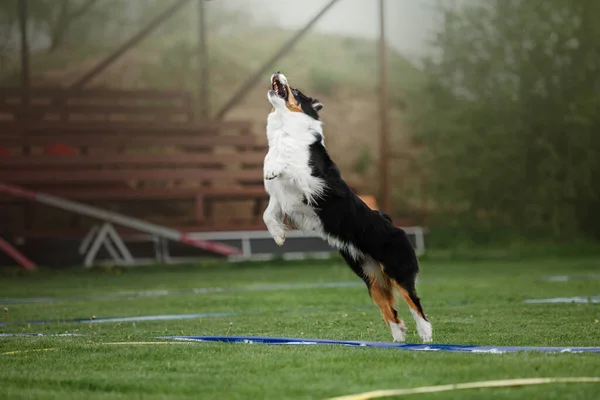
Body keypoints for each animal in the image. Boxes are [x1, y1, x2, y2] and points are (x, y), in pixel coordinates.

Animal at [262, 70, 432, 342]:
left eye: (296, 91)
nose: (277, 72)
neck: (285, 129)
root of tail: (394, 224)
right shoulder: (280, 198)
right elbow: (267, 215)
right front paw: (279, 236)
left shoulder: (311, 181)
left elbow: (287, 163)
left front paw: (273, 167)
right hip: (370, 277)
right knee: (391, 311)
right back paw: (398, 340)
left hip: (397, 269)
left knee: (414, 303)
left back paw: (426, 335)